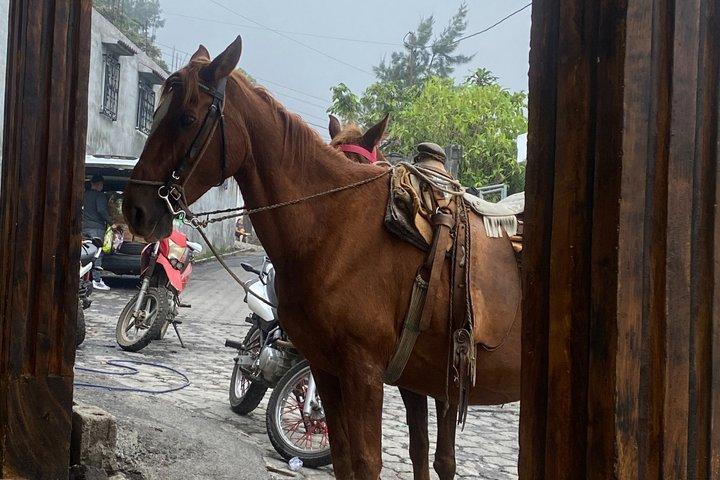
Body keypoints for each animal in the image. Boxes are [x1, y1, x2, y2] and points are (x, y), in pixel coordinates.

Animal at [123, 37, 522, 480]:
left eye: (187, 118)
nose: (135, 209)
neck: (338, 228)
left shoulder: (365, 373)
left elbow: (367, 462)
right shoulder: (328, 369)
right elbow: (346, 457)